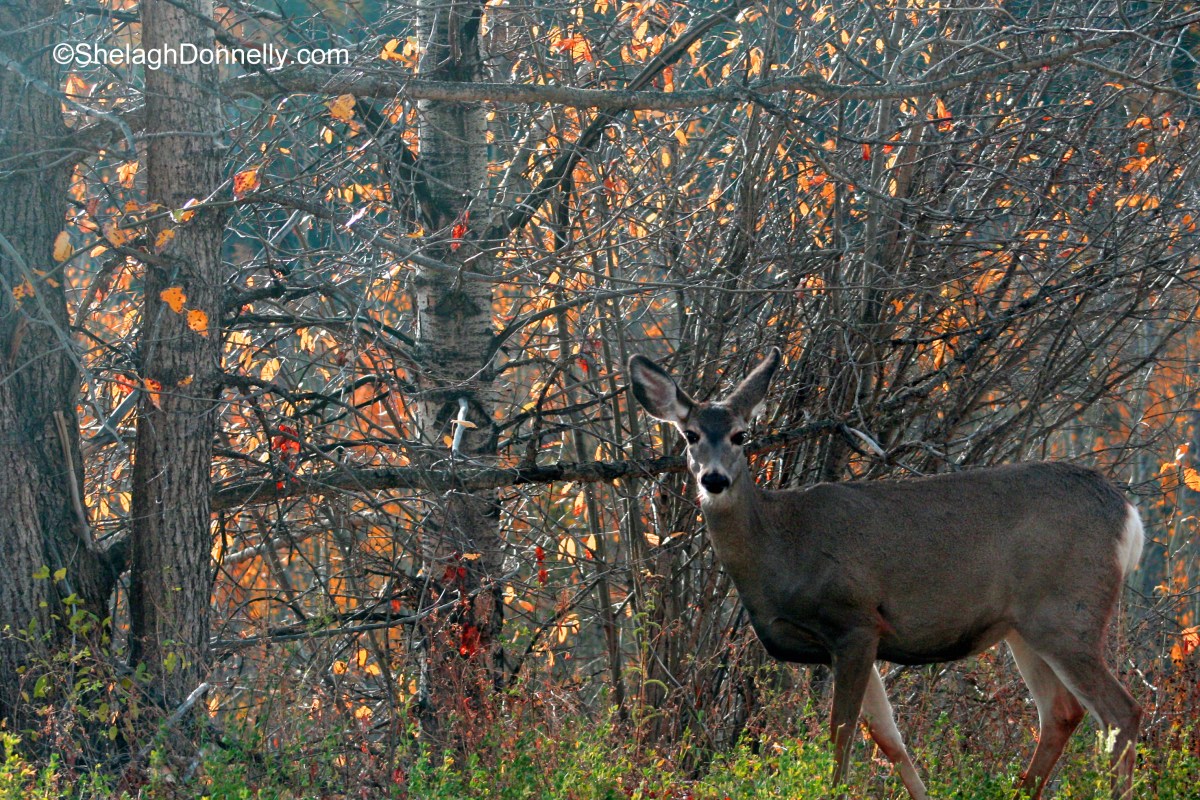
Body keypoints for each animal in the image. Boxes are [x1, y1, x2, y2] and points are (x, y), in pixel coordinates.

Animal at [627, 347, 1143, 800]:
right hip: (1023, 626)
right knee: (1062, 712)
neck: (780, 548)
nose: (713, 479)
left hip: (1068, 612)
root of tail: (1128, 514)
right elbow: (888, 738)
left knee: (1122, 712)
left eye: (739, 435)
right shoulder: (849, 642)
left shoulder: (854, 621)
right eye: (690, 435)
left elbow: (841, 738)